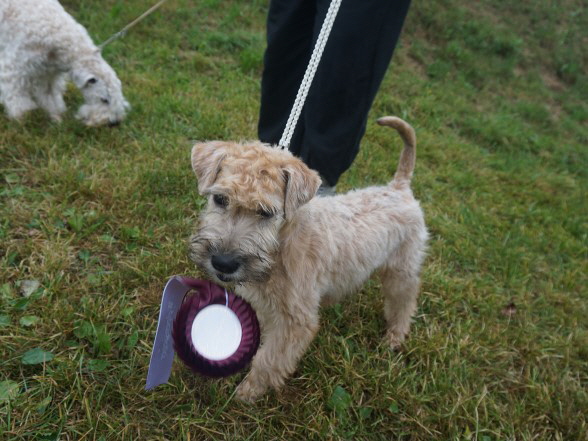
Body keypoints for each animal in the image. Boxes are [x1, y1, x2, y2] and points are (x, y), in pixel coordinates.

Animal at [0, 0, 129, 125]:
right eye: (104, 100)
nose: (114, 123)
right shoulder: (14, 68)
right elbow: (17, 95)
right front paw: (23, 117)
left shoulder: (47, 74)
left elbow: (50, 95)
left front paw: (56, 116)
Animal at [188, 115, 428, 400]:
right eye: (220, 199)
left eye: (266, 212)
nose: (223, 263)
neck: (280, 245)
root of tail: (399, 188)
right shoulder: (266, 306)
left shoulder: (295, 321)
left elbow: (269, 359)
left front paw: (247, 393)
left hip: (401, 270)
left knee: (404, 302)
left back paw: (394, 338)